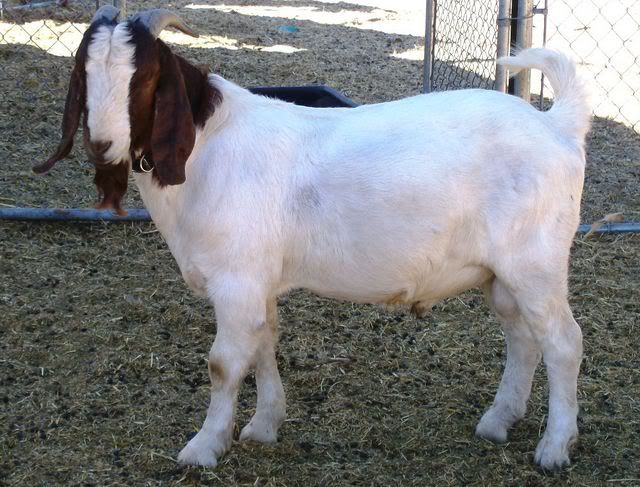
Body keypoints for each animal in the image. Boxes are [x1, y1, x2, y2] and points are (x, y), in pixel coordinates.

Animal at [36, 6, 592, 470]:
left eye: (146, 76)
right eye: (84, 72)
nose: (102, 144)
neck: (207, 148)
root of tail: (557, 126)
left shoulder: (236, 281)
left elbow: (223, 364)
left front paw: (203, 447)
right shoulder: (257, 281)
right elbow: (263, 344)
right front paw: (263, 426)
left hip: (536, 261)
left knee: (563, 342)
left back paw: (554, 448)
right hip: (501, 272)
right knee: (522, 337)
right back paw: (498, 421)